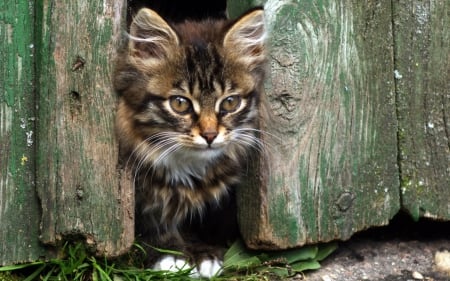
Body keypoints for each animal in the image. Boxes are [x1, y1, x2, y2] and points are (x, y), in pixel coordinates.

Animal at [114, 7, 266, 278]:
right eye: (180, 103)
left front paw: (204, 253)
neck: (187, 166)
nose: (210, 135)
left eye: (230, 102)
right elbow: (152, 226)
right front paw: (169, 256)